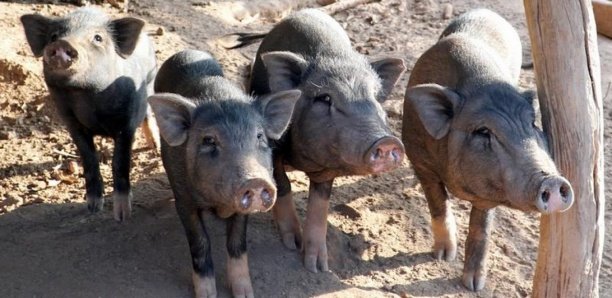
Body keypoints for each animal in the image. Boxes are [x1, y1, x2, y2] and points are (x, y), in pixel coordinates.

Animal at [21, 7, 159, 221]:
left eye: (98, 38)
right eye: (53, 36)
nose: (62, 43)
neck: (87, 97)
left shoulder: (126, 123)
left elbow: (120, 162)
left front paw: (122, 216)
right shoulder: (71, 122)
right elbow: (89, 158)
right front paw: (93, 208)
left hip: (151, 82)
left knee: (148, 113)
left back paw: (156, 147)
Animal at [149, 50, 302, 296]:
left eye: (259, 136)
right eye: (209, 140)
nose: (255, 180)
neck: (218, 205)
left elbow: (237, 243)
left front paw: (245, 294)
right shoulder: (184, 201)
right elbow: (200, 243)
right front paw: (207, 294)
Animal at [230, 8, 406, 274]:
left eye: (376, 98)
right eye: (324, 98)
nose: (386, 141)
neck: (305, 161)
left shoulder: (328, 169)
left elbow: (320, 204)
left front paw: (318, 267)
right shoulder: (272, 149)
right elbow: (283, 185)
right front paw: (293, 244)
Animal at [402, 8, 572, 292]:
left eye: (533, 123)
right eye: (483, 131)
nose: (553, 180)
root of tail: (488, 11)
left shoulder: (488, 193)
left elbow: (481, 229)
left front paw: (474, 285)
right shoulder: (418, 159)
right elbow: (438, 204)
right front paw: (443, 256)